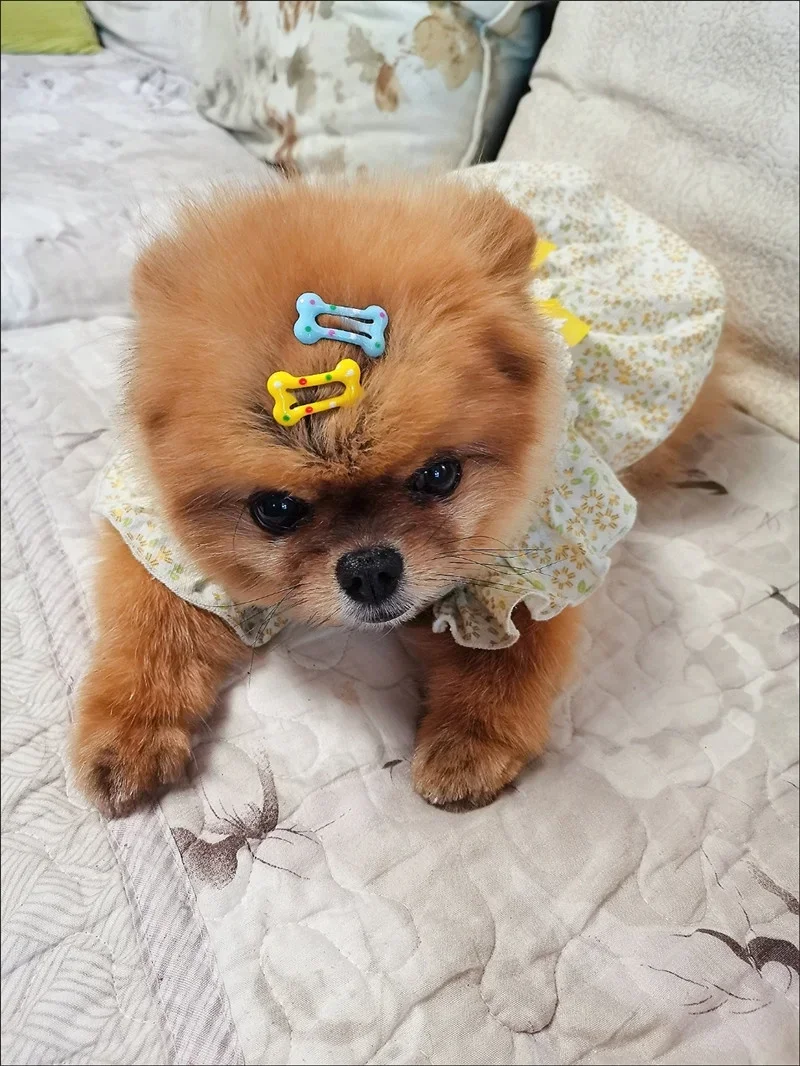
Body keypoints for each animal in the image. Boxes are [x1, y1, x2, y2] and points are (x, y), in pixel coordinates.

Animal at [72, 172, 725, 817]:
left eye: (439, 476)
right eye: (275, 510)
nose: (369, 570)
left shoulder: (540, 553)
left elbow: (512, 655)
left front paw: (470, 742)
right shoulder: (159, 541)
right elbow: (153, 627)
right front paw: (127, 734)